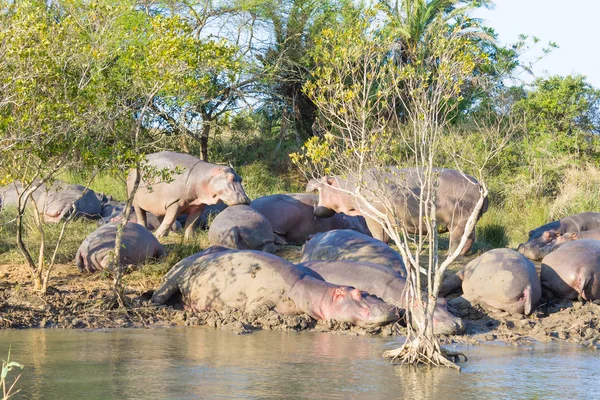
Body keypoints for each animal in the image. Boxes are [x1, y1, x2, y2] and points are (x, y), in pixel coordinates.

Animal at [150, 247, 398, 328]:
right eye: (357, 293)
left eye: (372, 293)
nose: (394, 308)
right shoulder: (261, 300)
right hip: (175, 278)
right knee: (161, 294)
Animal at [308, 167, 486, 255]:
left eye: (323, 182)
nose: (310, 181)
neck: (347, 187)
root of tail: (480, 184)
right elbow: (385, 236)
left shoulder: (373, 217)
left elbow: (377, 234)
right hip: (469, 221)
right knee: (470, 238)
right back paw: (462, 254)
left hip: (459, 222)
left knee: (458, 240)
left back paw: (451, 254)